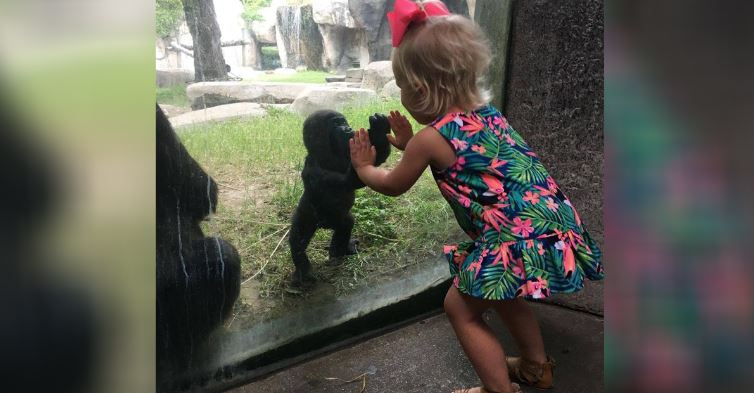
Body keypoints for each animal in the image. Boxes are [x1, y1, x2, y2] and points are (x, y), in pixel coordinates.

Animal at [290, 109, 390, 284]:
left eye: (344, 122)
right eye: (336, 124)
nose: (348, 128)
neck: (327, 154)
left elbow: (372, 163)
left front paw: (379, 131)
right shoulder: (314, 168)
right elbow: (350, 180)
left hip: (336, 220)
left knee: (346, 224)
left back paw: (339, 251)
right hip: (306, 215)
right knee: (297, 239)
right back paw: (303, 271)